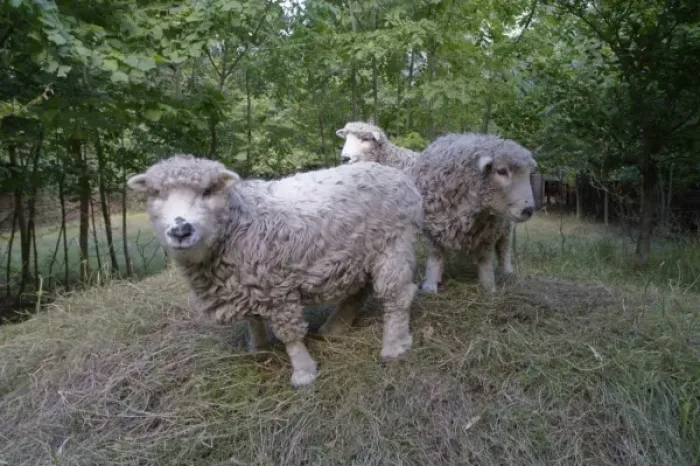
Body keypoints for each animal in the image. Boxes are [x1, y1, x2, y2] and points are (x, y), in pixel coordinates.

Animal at [127, 154, 423, 387]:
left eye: (208, 191)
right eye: (156, 194)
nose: (181, 230)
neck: (236, 224)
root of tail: (401, 179)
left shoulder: (276, 287)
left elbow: (290, 336)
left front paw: (304, 372)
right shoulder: (244, 282)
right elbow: (253, 320)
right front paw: (258, 347)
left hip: (394, 243)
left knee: (398, 295)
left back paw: (394, 345)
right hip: (360, 254)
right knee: (360, 291)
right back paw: (335, 328)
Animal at [336, 124, 535, 293]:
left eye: (366, 139)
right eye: (346, 138)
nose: (345, 158)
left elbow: (483, 258)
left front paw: (488, 287)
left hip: (504, 225)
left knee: (504, 248)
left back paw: (507, 271)